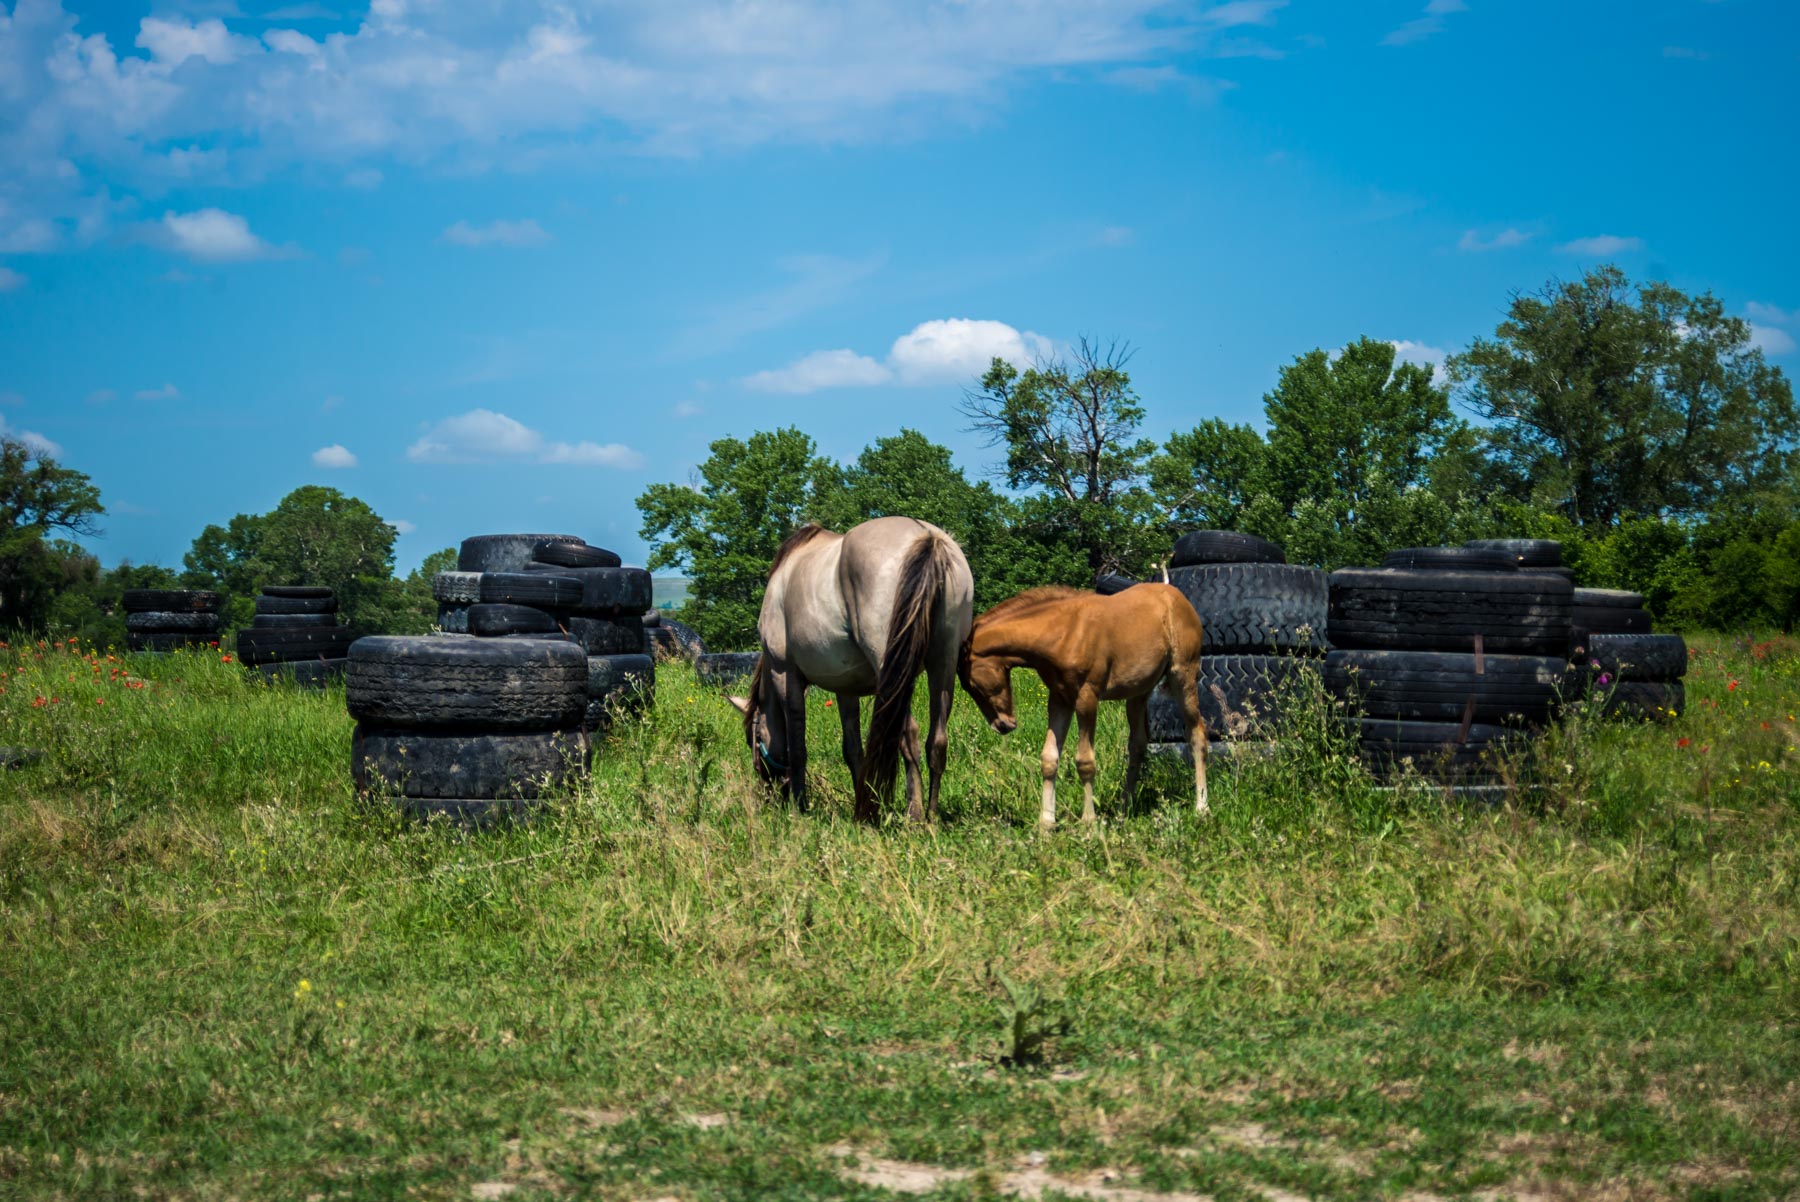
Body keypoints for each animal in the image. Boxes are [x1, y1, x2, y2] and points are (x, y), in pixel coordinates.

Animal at [957, 583, 1209, 827]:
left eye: (971, 684)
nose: (1003, 725)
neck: (1062, 634)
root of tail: (1177, 596)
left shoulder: (1087, 697)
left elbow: (1085, 761)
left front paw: (1089, 823)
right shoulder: (1059, 699)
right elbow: (1049, 758)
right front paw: (1046, 824)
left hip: (1183, 675)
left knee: (1196, 732)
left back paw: (1201, 807)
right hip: (1138, 691)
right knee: (1137, 744)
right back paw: (1123, 809)